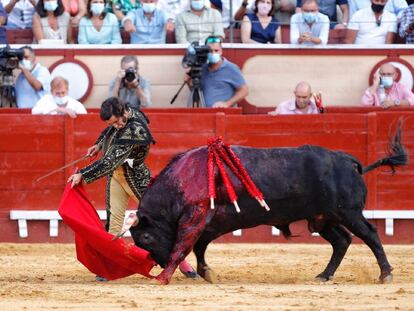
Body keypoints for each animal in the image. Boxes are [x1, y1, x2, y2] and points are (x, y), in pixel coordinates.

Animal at [130, 126, 408, 286]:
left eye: (147, 236)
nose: (159, 265)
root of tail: (347, 160)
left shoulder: (195, 218)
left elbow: (182, 247)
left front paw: (163, 278)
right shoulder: (208, 224)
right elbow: (199, 247)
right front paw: (206, 272)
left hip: (348, 212)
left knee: (369, 234)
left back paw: (385, 274)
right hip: (323, 218)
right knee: (342, 240)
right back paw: (324, 275)